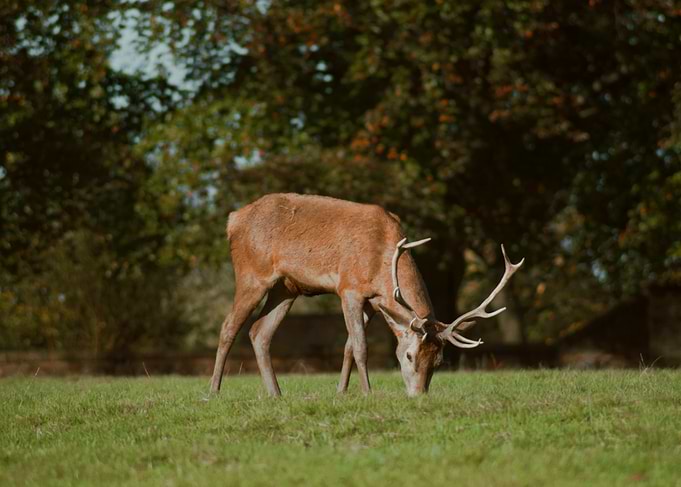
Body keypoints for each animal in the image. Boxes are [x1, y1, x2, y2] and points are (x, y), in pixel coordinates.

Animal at [209, 193, 524, 397]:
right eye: (409, 355)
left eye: (439, 362)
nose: (419, 395)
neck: (381, 260)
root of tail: (232, 220)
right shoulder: (348, 286)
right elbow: (361, 346)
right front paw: (367, 393)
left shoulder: (374, 301)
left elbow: (349, 345)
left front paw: (341, 392)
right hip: (252, 274)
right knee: (228, 326)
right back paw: (213, 391)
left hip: (286, 287)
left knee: (259, 332)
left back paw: (276, 394)